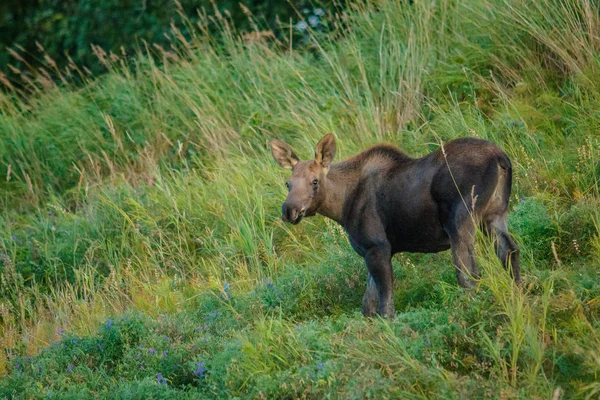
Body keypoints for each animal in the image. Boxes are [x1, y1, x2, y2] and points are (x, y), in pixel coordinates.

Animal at [272, 133, 520, 318]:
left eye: (314, 181)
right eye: (288, 183)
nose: (289, 210)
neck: (341, 206)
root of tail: (501, 158)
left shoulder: (377, 246)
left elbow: (385, 308)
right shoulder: (373, 251)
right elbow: (368, 307)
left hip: (460, 221)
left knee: (468, 274)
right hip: (494, 215)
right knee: (510, 251)